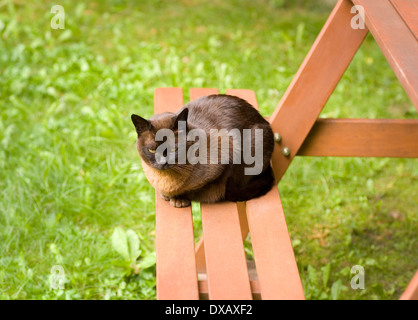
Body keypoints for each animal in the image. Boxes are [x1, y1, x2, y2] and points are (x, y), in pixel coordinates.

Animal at [131, 94, 274, 208]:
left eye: (174, 149)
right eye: (152, 150)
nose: (163, 162)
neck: (164, 179)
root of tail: (260, 118)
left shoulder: (226, 158)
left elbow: (193, 190)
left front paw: (178, 199)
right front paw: (166, 195)